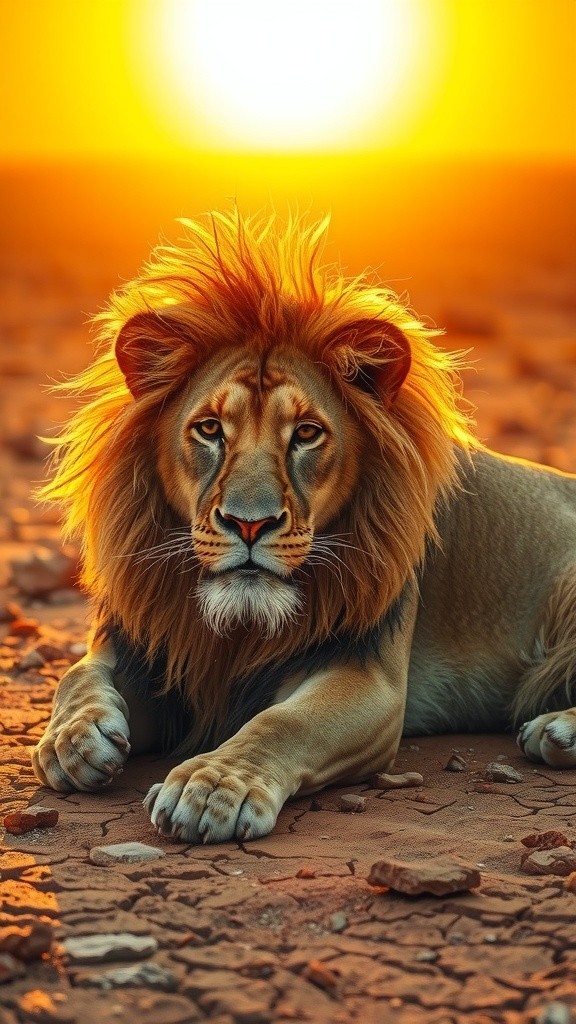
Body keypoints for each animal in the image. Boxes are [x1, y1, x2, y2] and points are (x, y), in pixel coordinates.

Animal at [32, 210, 576, 844]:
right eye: (210, 429)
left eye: (308, 434)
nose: (250, 525)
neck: (234, 631)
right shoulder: (158, 649)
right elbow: (77, 675)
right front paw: (73, 739)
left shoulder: (369, 679)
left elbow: (281, 723)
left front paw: (213, 788)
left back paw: (556, 731)